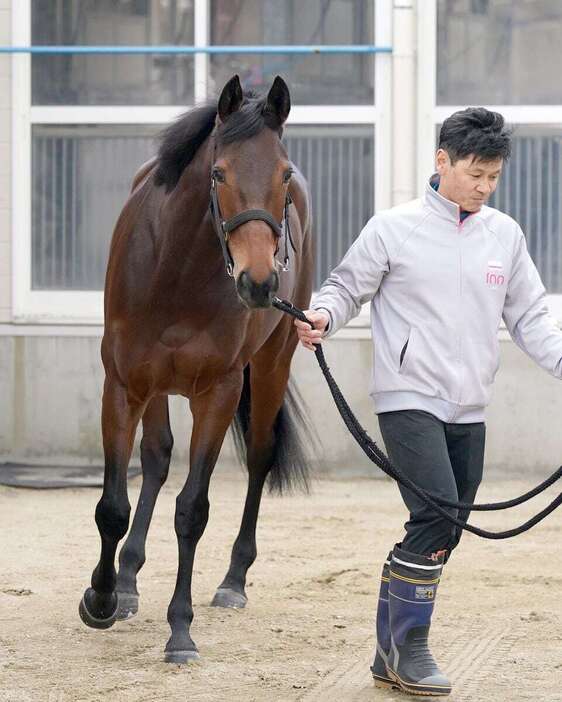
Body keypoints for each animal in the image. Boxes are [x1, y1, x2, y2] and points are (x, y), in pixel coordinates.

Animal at [77, 75, 316, 664]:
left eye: (282, 174)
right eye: (218, 172)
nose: (260, 282)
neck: (175, 271)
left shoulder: (219, 393)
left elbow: (192, 510)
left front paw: (180, 630)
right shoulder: (123, 385)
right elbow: (113, 504)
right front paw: (101, 598)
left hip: (273, 363)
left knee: (259, 458)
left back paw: (233, 581)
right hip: (155, 387)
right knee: (157, 457)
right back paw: (128, 580)